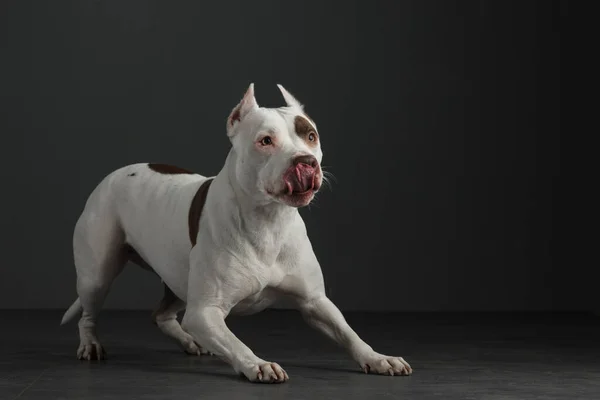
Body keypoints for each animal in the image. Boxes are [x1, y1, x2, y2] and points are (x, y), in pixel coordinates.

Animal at [63, 85, 414, 384]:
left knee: (161, 315)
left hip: (178, 279)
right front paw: (258, 364)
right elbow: (235, 342)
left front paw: (378, 358)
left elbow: (348, 333)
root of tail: (116, 173)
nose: (305, 163)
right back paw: (90, 345)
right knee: (89, 314)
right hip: (97, 276)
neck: (269, 221)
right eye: (266, 141)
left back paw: (191, 342)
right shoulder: (205, 312)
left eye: (311, 136)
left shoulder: (316, 302)